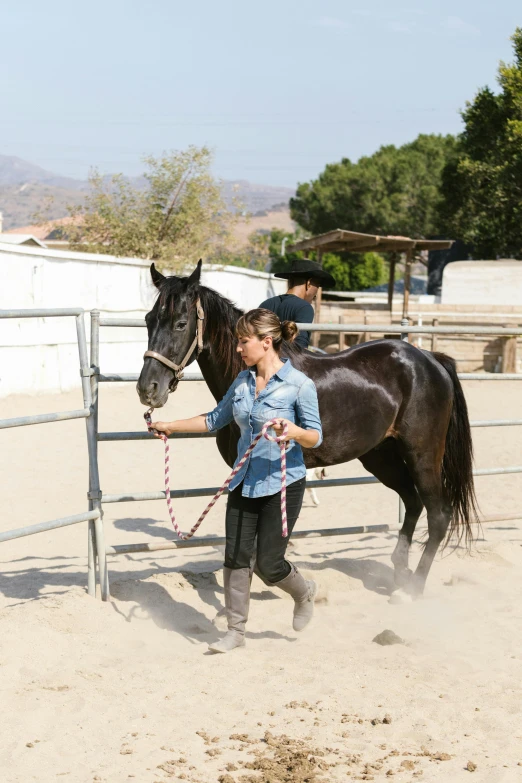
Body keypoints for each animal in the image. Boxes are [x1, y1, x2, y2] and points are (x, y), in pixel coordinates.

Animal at [137, 260, 476, 596]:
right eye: (149, 320)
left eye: (181, 323)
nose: (148, 389)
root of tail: (430, 359)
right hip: (381, 456)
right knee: (413, 503)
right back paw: (399, 574)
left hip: (423, 455)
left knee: (438, 514)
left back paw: (412, 589)